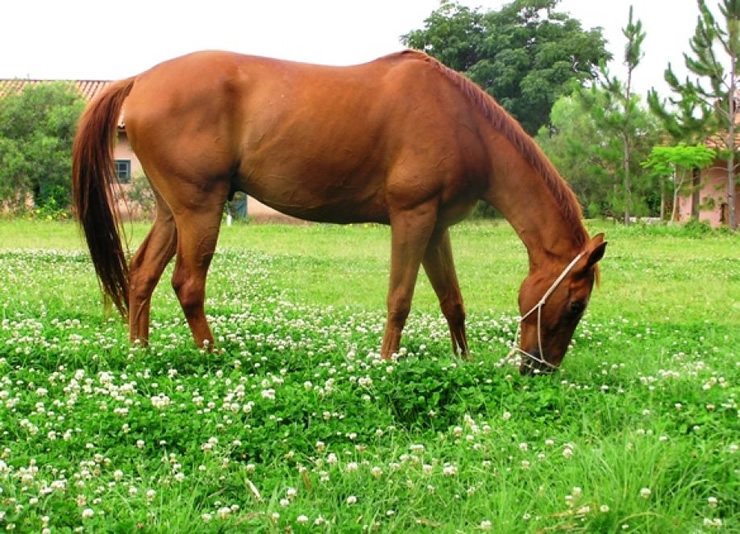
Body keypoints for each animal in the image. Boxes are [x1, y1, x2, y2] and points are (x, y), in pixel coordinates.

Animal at [73, 52, 608, 374]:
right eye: (575, 304)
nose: (538, 368)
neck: (464, 123)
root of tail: (140, 80)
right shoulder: (412, 218)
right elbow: (400, 299)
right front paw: (388, 364)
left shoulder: (436, 228)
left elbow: (452, 301)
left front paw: (463, 362)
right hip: (199, 209)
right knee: (187, 284)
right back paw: (215, 356)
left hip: (172, 213)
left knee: (142, 275)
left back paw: (140, 355)